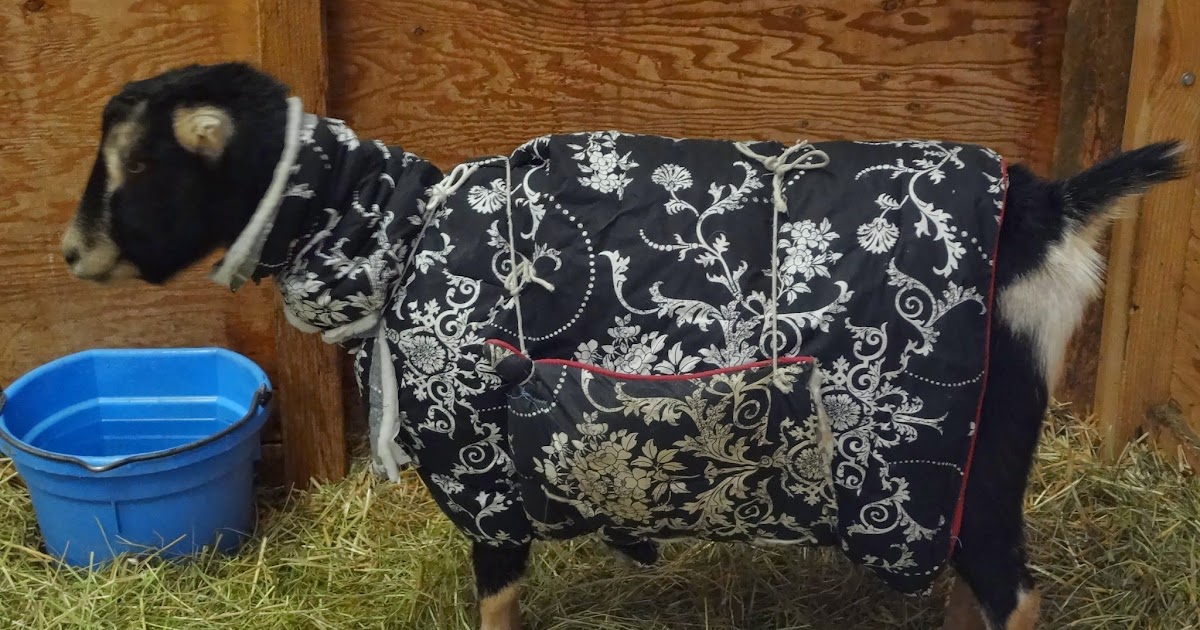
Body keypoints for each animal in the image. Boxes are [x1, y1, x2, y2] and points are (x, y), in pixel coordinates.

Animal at [62, 62, 1185, 630]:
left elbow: (496, 590)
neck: (399, 228)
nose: (72, 253)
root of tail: (1043, 211)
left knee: (1014, 590)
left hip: (958, 457)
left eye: (138, 164)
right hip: (947, 479)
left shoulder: (484, 464)